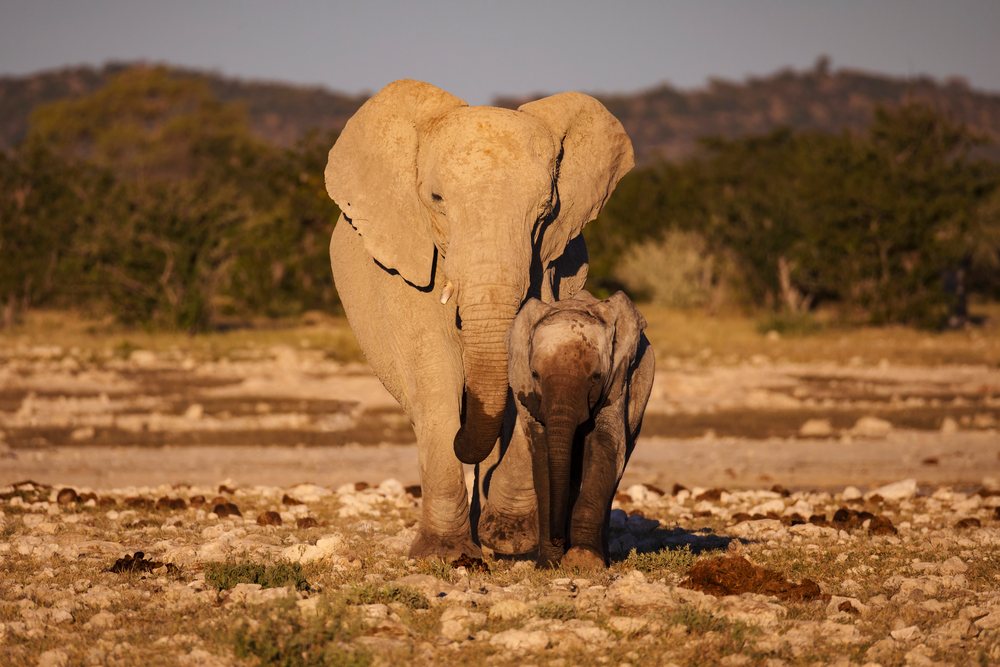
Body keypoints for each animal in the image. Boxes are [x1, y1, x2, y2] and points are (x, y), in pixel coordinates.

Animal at [324, 80, 634, 559]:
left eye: (545, 211)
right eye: (436, 201)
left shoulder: (548, 264)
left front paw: (508, 539)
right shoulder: (409, 266)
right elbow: (435, 372)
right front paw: (444, 554)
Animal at [508, 290, 655, 569]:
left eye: (596, 377)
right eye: (535, 374)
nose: (557, 539)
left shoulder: (618, 381)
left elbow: (605, 446)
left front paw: (583, 560)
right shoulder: (525, 390)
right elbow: (542, 455)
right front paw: (548, 563)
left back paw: (602, 557)